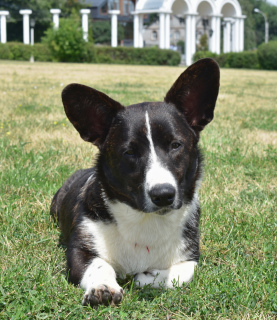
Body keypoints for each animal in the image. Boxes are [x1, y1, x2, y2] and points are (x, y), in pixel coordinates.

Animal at [50, 58, 220, 308]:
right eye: (130, 152)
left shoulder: (191, 257)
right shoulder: (80, 250)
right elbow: (99, 265)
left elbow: (178, 275)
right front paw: (103, 288)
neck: (145, 219)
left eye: (176, 145)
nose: (163, 195)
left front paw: (145, 277)